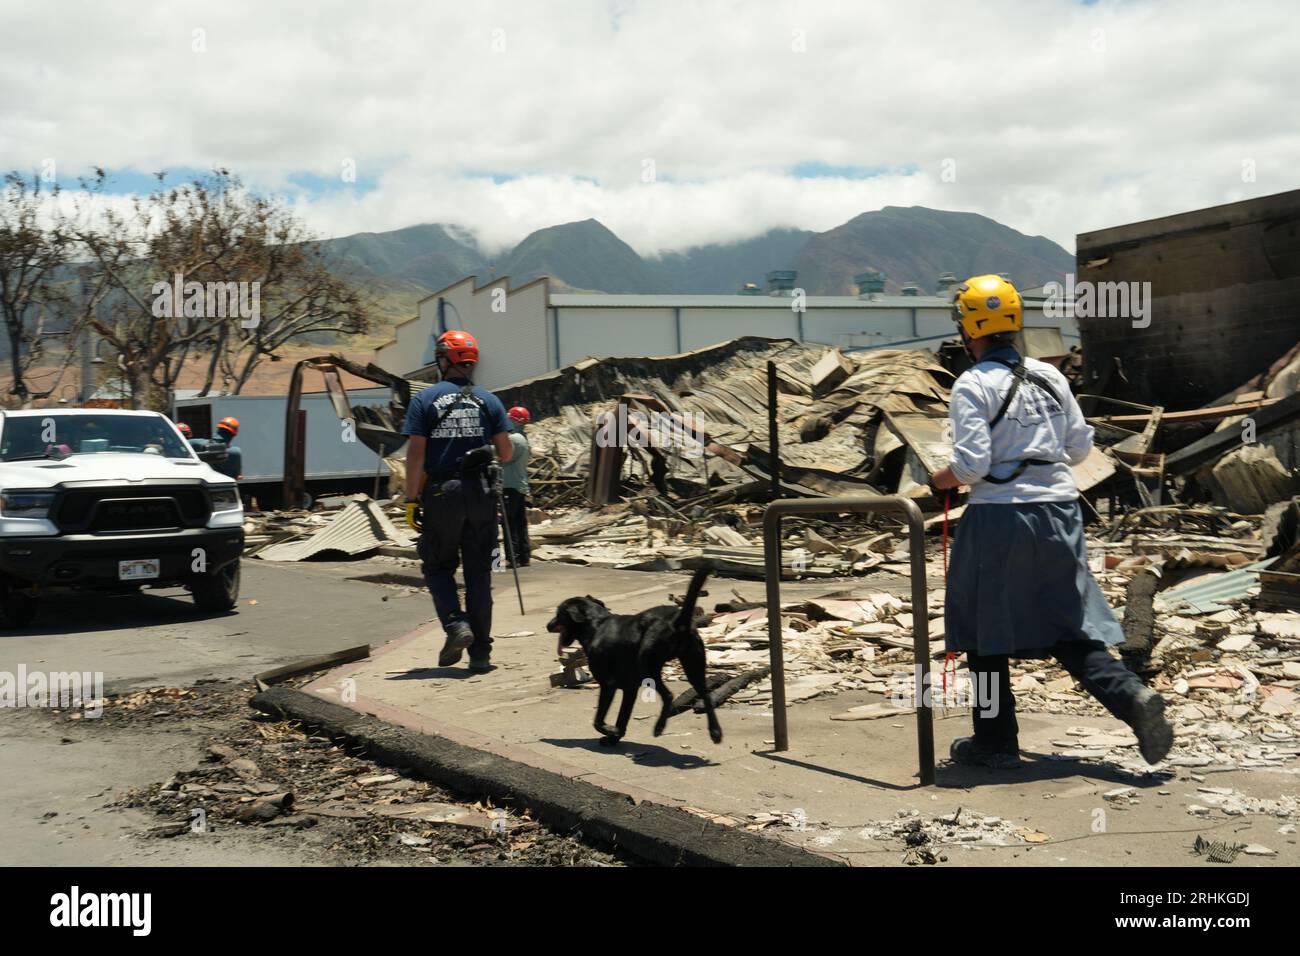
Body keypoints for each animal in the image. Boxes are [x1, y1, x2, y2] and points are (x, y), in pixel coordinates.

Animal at [546, 567, 722, 749]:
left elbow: (598, 720)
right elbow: (622, 717)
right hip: (693, 666)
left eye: (559, 614)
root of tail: (678, 621)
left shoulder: (608, 684)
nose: (547, 626)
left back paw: (659, 727)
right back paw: (715, 732)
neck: (597, 625)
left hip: (647, 666)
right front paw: (614, 737)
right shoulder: (629, 689)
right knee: (705, 695)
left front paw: (610, 731)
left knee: (668, 695)